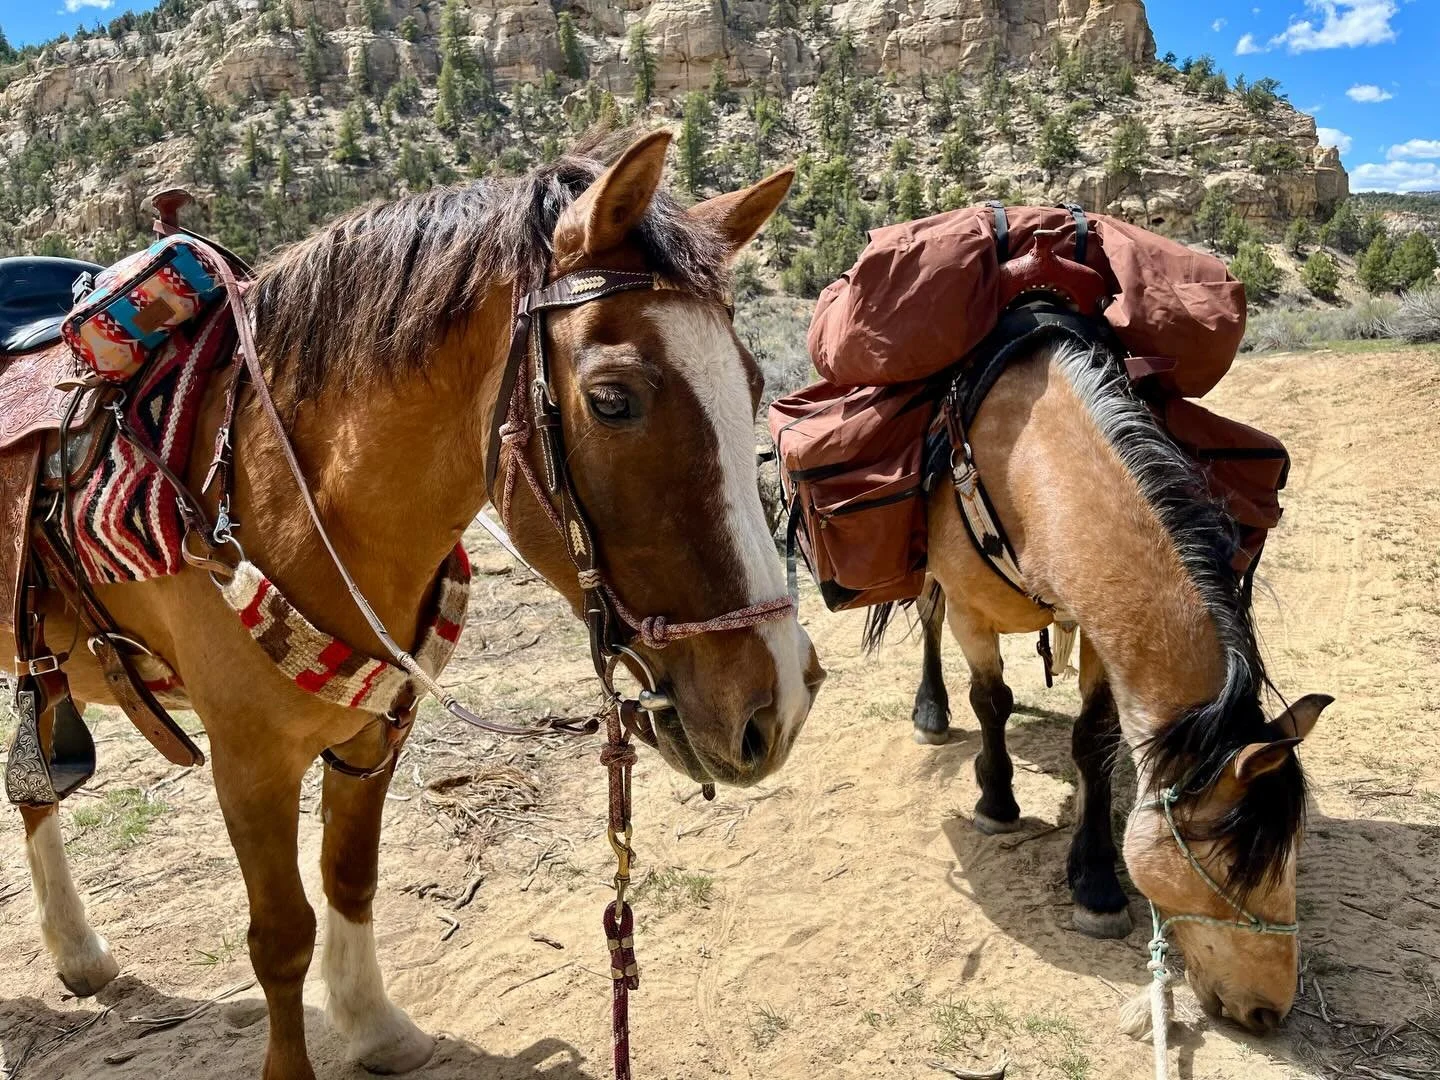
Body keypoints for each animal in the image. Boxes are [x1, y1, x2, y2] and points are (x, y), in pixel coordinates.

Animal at [2, 130, 824, 1079]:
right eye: (614, 400)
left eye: (755, 381)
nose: (778, 706)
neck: (274, 487)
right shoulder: (248, 762)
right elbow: (280, 935)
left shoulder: (377, 730)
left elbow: (350, 877)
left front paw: (376, 1027)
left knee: (31, 790)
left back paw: (78, 954)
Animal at [871, 332, 1329, 1034]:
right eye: (1230, 864)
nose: (1268, 1011)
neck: (1030, 460)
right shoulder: (973, 610)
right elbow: (991, 700)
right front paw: (996, 803)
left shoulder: (1096, 628)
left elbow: (1093, 739)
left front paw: (1094, 881)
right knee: (929, 616)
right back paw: (932, 712)